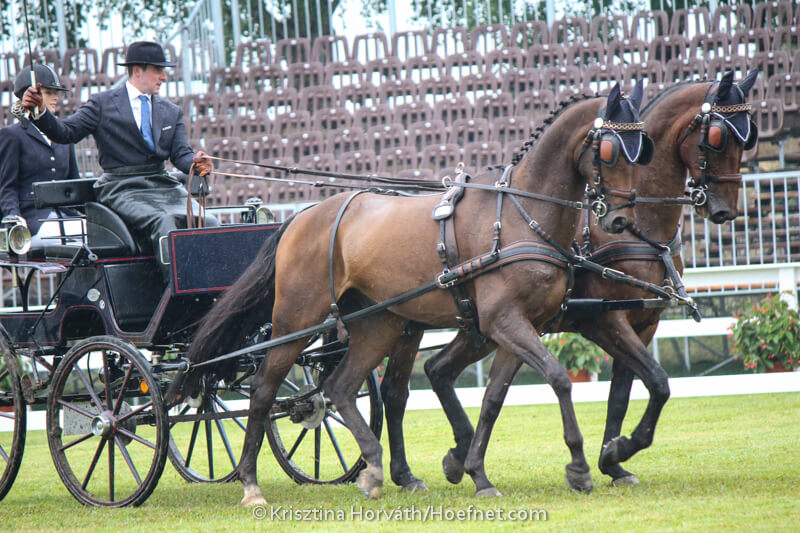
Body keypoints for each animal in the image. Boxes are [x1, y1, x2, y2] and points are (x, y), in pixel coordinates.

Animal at [168, 81, 654, 505]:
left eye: (642, 149)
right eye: (610, 151)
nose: (620, 220)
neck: (519, 215)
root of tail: (302, 216)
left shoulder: (520, 325)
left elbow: (496, 396)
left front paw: (478, 473)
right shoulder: (503, 321)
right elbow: (558, 378)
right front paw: (579, 468)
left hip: (378, 323)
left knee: (341, 386)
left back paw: (375, 469)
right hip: (296, 320)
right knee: (265, 389)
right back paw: (251, 483)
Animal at [378, 69, 759, 496]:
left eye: (750, 136)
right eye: (718, 136)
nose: (725, 210)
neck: (639, 231)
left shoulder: (643, 322)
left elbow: (634, 390)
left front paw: (614, 458)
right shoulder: (604, 320)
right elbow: (653, 382)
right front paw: (612, 453)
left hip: (475, 327)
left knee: (438, 370)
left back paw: (456, 456)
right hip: (408, 326)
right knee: (394, 391)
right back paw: (406, 472)